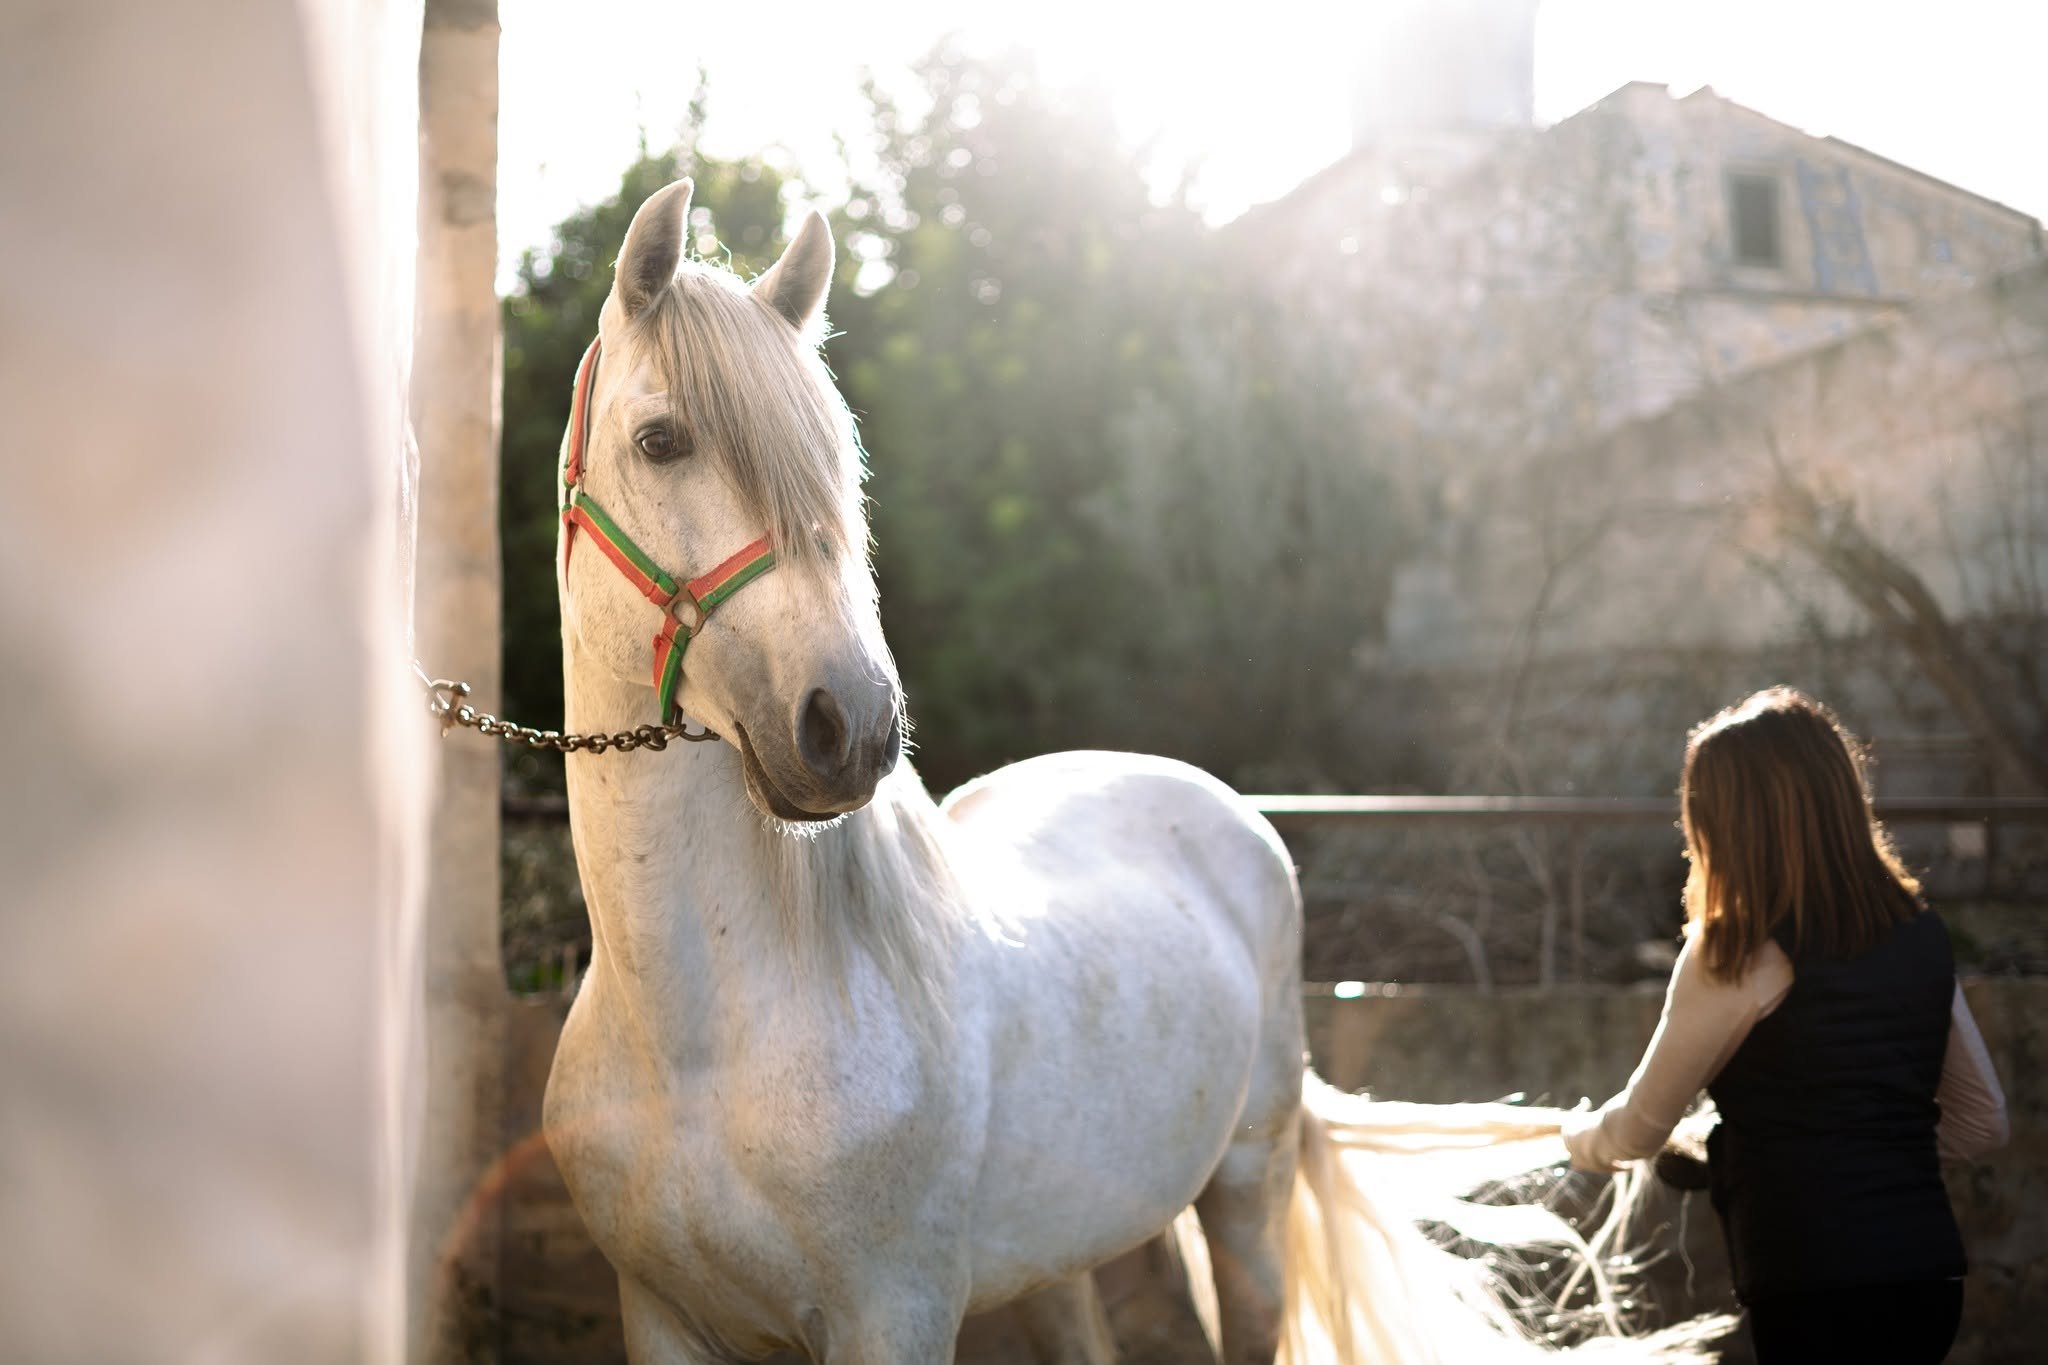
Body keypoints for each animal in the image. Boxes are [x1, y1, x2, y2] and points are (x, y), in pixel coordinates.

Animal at [540, 178, 1722, 1365]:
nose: (853, 726)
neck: (697, 1044)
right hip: (1055, 1257)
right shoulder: (661, 1314)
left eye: (838, 465)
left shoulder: (894, 1317)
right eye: (659, 439)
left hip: (1246, 1190)